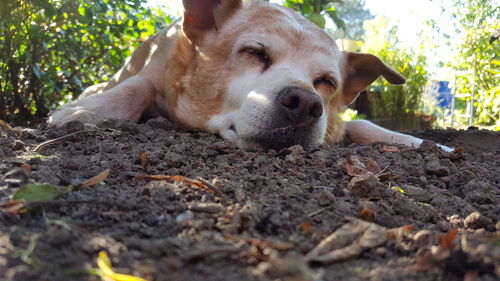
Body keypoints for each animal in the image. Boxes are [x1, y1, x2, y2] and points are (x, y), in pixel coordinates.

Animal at [47, 0, 454, 152]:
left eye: (326, 82)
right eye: (255, 53)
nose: (304, 103)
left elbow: (361, 124)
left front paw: (421, 143)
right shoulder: (157, 75)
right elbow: (141, 84)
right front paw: (87, 113)